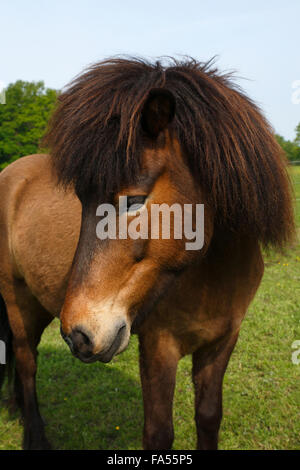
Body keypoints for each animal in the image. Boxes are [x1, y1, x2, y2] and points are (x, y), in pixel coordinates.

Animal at [0, 57, 296, 450]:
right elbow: (158, 433)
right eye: (81, 200)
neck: (212, 276)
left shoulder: (221, 342)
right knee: (26, 361)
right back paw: (35, 434)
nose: (79, 336)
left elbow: (209, 416)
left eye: (135, 200)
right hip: (16, 298)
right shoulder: (159, 346)